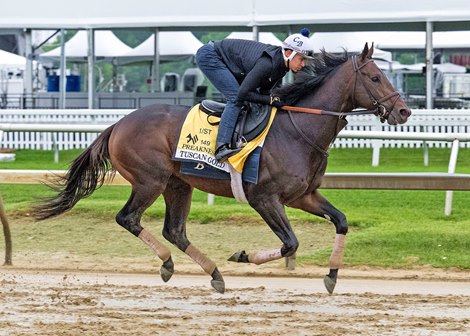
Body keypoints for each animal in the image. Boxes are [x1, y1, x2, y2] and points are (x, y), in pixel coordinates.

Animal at [35, 44, 412, 294]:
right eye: (375, 77)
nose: (404, 111)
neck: (298, 130)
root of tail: (118, 124)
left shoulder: (303, 196)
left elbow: (341, 221)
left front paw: (332, 276)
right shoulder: (265, 198)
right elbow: (290, 243)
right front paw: (243, 255)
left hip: (178, 184)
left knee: (175, 230)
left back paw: (213, 273)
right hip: (150, 180)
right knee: (128, 218)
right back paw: (169, 263)